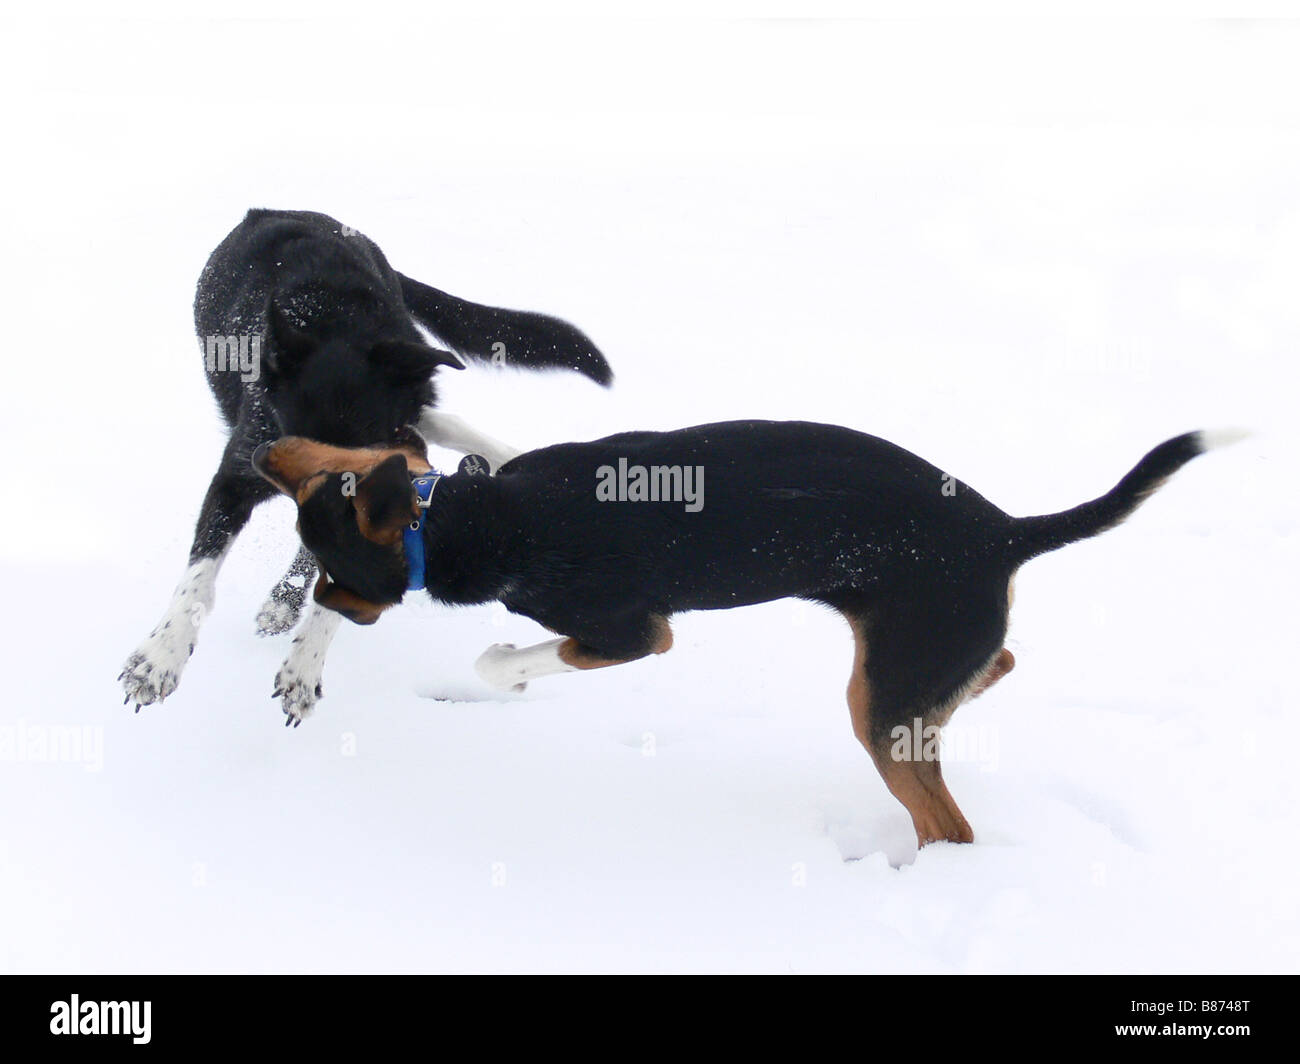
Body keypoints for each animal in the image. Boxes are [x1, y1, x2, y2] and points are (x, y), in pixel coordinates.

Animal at [122, 206, 608, 712]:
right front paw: (158, 658)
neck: (333, 319)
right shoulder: (240, 470)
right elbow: (198, 579)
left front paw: (305, 662)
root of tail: (275, 210)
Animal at [253, 418, 1237, 842]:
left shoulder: (634, 633)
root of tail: (1006, 531)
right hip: (907, 666)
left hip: (881, 703)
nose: (270, 451)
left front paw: (497, 663)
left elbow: (512, 660)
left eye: (341, 582)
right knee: (993, 664)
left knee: (946, 821)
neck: (487, 514)